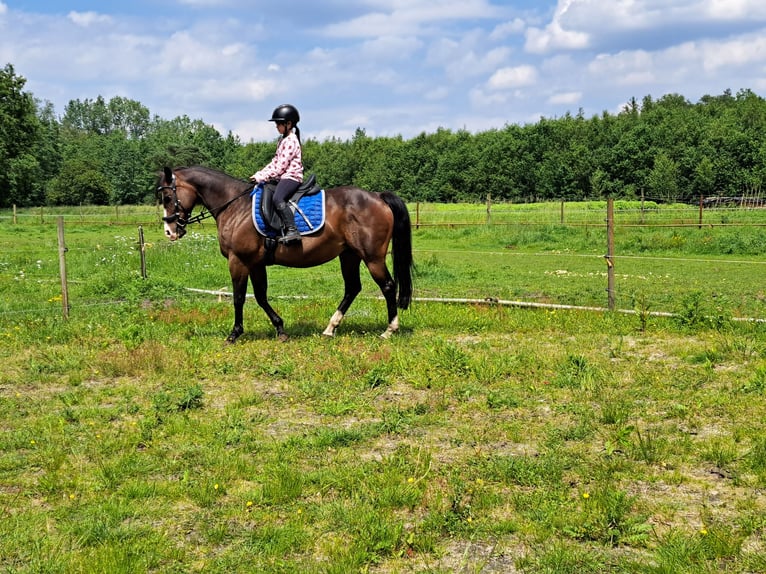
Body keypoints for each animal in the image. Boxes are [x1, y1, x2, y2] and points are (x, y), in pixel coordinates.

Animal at [155, 164, 414, 344]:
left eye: (168, 197)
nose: (169, 232)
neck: (234, 206)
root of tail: (378, 196)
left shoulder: (239, 261)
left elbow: (239, 297)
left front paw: (234, 334)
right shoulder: (256, 264)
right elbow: (260, 296)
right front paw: (280, 329)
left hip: (372, 257)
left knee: (388, 286)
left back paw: (389, 330)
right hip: (349, 255)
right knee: (352, 288)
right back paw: (330, 328)